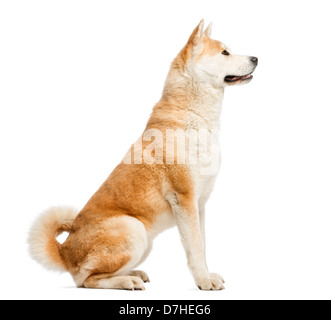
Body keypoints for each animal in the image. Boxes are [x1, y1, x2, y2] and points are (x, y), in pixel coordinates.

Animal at [28, 19, 258, 290]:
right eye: (224, 52)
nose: (256, 58)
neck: (195, 115)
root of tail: (64, 250)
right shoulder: (184, 199)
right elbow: (195, 248)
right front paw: (203, 282)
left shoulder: (199, 203)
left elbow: (202, 245)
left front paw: (207, 276)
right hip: (133, 228)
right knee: (87, 280)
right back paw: (127, 281)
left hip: (145, 242)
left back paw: (134, 273)